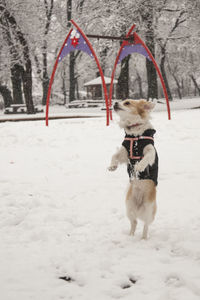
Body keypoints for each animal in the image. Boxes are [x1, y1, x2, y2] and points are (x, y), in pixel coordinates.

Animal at [108, 99, 159, 240]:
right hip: (129, 208)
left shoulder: (150, 150)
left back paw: (143, 239)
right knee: (134, 223)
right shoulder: (124, 153)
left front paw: (140, 166)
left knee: (145, 226)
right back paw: (130, 236)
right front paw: (112, 166)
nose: (115, 102)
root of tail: (139, 205)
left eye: (127, 103)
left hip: (149, 210)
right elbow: (114, 155)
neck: (135, 135)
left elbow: (146, 158)